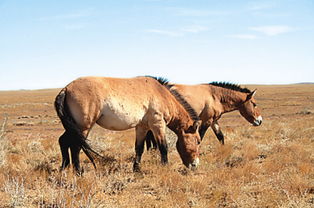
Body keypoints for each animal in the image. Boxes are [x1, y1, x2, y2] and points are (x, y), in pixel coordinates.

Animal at [54, 76, 202, 174]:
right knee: (75, 146)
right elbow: (163, 147)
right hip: (83, 127)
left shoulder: (142, 127)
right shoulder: (158, 125)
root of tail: (66, 89)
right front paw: (165, 167)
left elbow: (139, 148)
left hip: (74, 127)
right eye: (198, 141)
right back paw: (79, 172)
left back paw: (64, 167)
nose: (195, 165)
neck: (162, 94)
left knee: (63, 141)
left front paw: (136, 169)